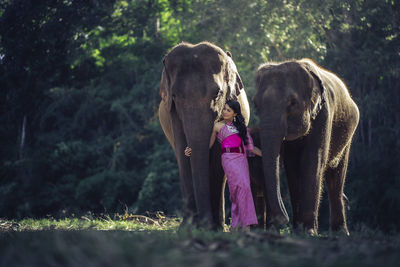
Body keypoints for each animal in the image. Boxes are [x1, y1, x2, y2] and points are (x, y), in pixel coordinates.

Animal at [159, 42, 250, 230]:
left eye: (218, 94)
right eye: (175, 96)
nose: (203, 223)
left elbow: (216, 155)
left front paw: (214, 228)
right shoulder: (173, 112)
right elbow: (181, 151)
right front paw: (187, 228)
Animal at [255, 59, 360, 237]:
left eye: (292, 103)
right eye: (256, 105)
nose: (282, 220)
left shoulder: (324, 114)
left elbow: (312, 161)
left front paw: (308, 232)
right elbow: (292, 166)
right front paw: (299, 230)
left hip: (348, 133)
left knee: (336, 177)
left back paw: (340, 233)